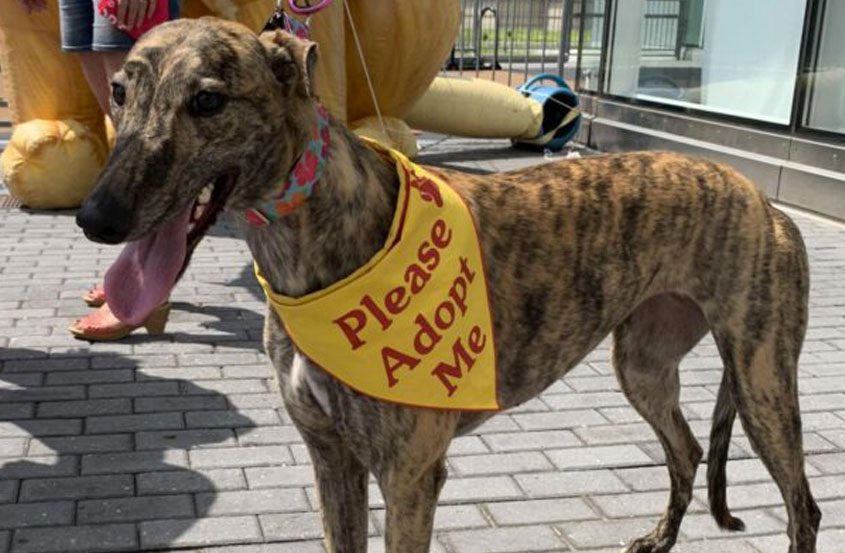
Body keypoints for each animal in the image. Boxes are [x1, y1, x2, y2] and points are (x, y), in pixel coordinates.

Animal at [77, 17, 816, 552]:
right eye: (119, 92)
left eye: (208, 100)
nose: (94, 217)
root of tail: (758, 197)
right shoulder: (330, 459)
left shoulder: (409, 476)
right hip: (643, 363)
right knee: (687, 449)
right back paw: (659, 537)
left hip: (761, 379)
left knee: (801, 504)